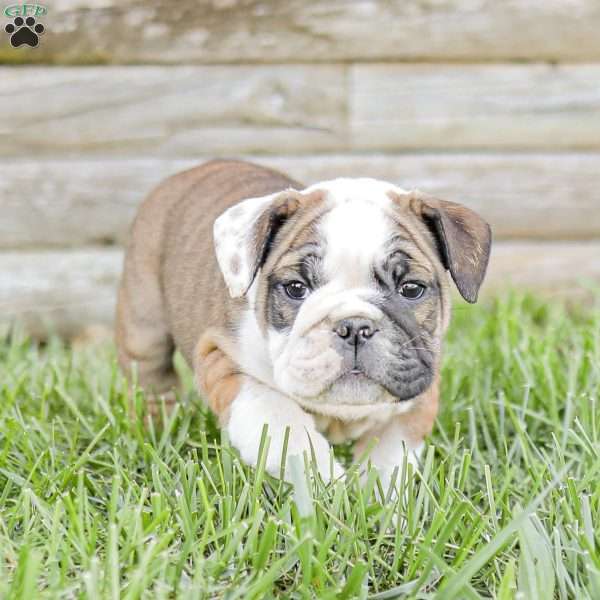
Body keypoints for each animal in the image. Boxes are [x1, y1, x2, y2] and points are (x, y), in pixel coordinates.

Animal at [116, 161, 492, 488]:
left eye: (411, 289)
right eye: (296, 288)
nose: (354, 326)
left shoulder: (418, 391)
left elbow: (390, 453)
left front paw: (379, 500)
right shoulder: (223, 360)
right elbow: (282, 423)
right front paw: (326, 483)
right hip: (145, 324)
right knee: (151, 379)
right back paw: (155, 430)